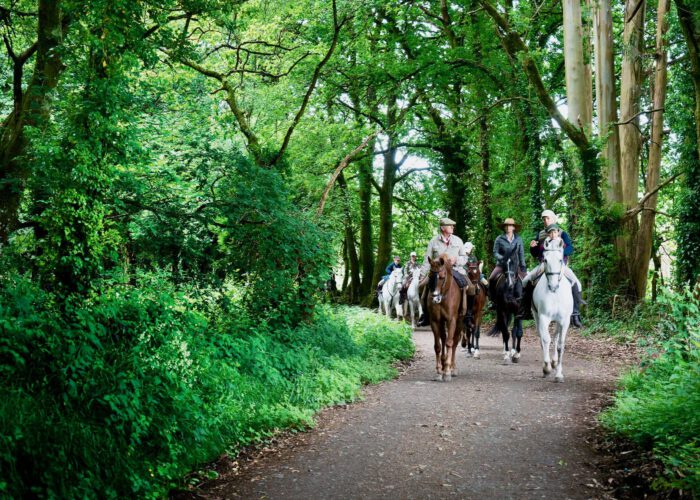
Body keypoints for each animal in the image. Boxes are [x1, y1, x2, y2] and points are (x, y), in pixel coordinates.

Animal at [532, 238, 573, 382]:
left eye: (560, 260)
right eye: (545, 260)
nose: (553, 286)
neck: (555, 293)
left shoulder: (565, 321)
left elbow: (560, 344)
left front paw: (559, 374)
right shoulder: (544, 317)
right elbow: (546, 339)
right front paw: (546, 368)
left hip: (558, 322)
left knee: (556, 337)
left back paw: (554, 361)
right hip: (536, 317)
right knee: (543, 338)